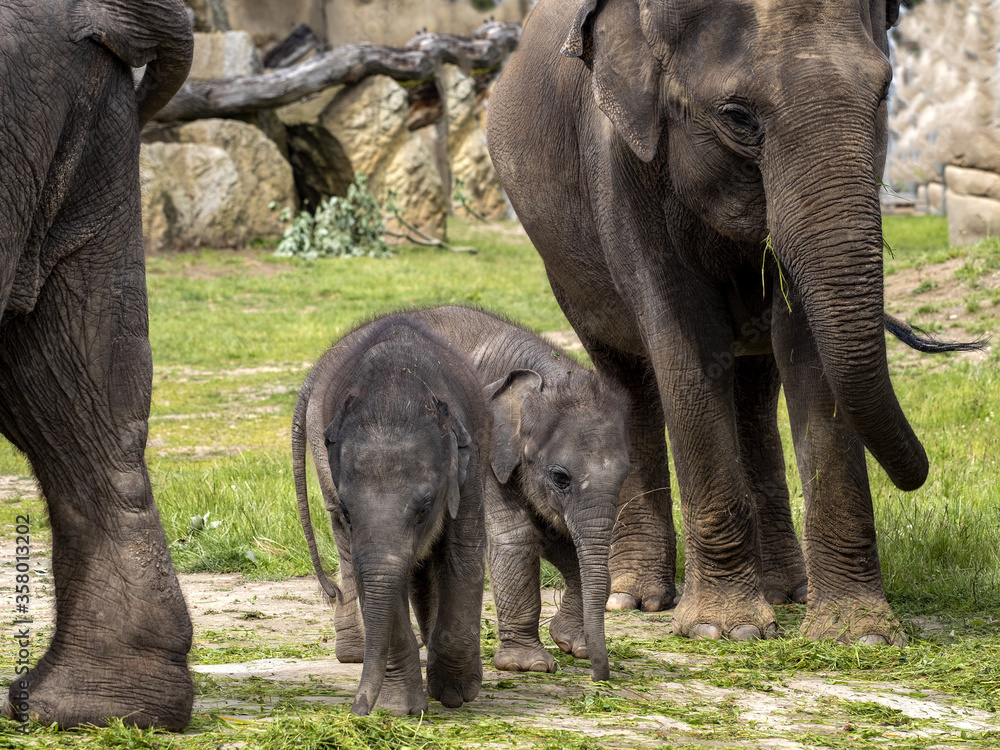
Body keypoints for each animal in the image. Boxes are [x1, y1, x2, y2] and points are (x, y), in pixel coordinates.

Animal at [294, 316, 491, 716]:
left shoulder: (471, 463)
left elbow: (463, 553)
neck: (395, 383)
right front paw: (400, 710)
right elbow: (375, 573)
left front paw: (456, 693)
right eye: (347, 512)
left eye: (423, 510)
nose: (356, 712)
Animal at [312, 306, 631, 682]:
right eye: (560, 477)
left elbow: (557, 535)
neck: (545, 377)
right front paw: (528, 665)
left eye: (625, 475)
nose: (599, 675)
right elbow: (516, 535)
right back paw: (360, 653)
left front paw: (573, 645)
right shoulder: (485, 448)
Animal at [486, 0, 959, 645]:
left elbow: (807, 345)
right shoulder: (620, 164)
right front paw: (722, 630)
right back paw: (634, 599)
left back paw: (787, 593)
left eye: (884, 93)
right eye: (737, 115)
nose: (921, 472)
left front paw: (857, 634)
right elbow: (685, 340)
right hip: (564, 266)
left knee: (756, 390)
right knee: (627, 372)